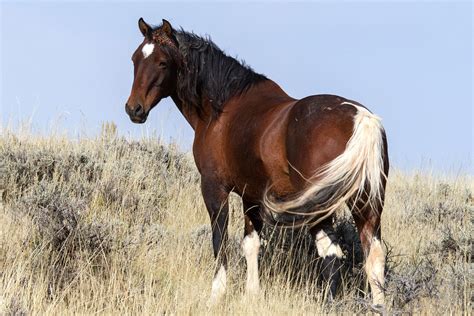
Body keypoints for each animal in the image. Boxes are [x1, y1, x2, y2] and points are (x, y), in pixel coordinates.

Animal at [125, 18, 388, 308]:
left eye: (162, 62)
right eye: (135, 59)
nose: (134, 109)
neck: (221, 109)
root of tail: (362, 119)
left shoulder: (214, 188)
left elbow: (220, 240)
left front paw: (216, 295)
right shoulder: (251, 196)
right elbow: (251, 244)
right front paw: (252, 294)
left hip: (321, 208)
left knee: (331, 253)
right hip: (366, 203)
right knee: (374, 254)